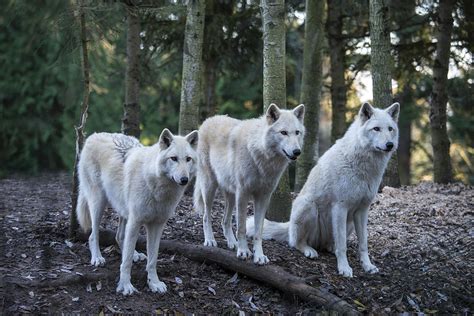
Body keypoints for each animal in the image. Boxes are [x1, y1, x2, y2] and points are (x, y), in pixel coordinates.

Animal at [76, 128, 198, 294]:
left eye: (188, 159)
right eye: (173, 158)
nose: (184, 179)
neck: (157, 187)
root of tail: (94, 135)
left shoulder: (157, 225)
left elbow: (152, 259)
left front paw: (154, 283)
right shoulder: (136, 221)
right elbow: (126, 261)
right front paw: (125, 285)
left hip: (123, 211)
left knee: (119, 236)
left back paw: (135, 255)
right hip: (98, 203)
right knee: (93, 236)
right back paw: (97, 258)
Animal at [194, 103, 306, 264]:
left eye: (297, 132)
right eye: (283, 132)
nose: (297, 151)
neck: (262, 156)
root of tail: (207, 121)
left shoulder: (263, 197)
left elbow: (258, 231)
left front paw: (259, 256)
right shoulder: (243, 193)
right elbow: (241, 227)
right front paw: (243, 251)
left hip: (231, 195)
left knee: (224, 220)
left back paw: (231, 242)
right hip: (210, 188)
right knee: (206, 217)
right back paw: (210, 241)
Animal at [248, 102, 400, 276]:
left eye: (390, 129)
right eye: (376, 129)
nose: (390, 145)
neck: (364, 167)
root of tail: (289, 225)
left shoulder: (362, 210)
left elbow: (363, 244)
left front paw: (367, 266)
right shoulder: (340, 207)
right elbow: (342, 246)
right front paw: (344, 268)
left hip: (349, 223)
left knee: (330, 244)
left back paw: (330, 248)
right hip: (309, 207)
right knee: (296, 243)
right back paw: (309, 250)